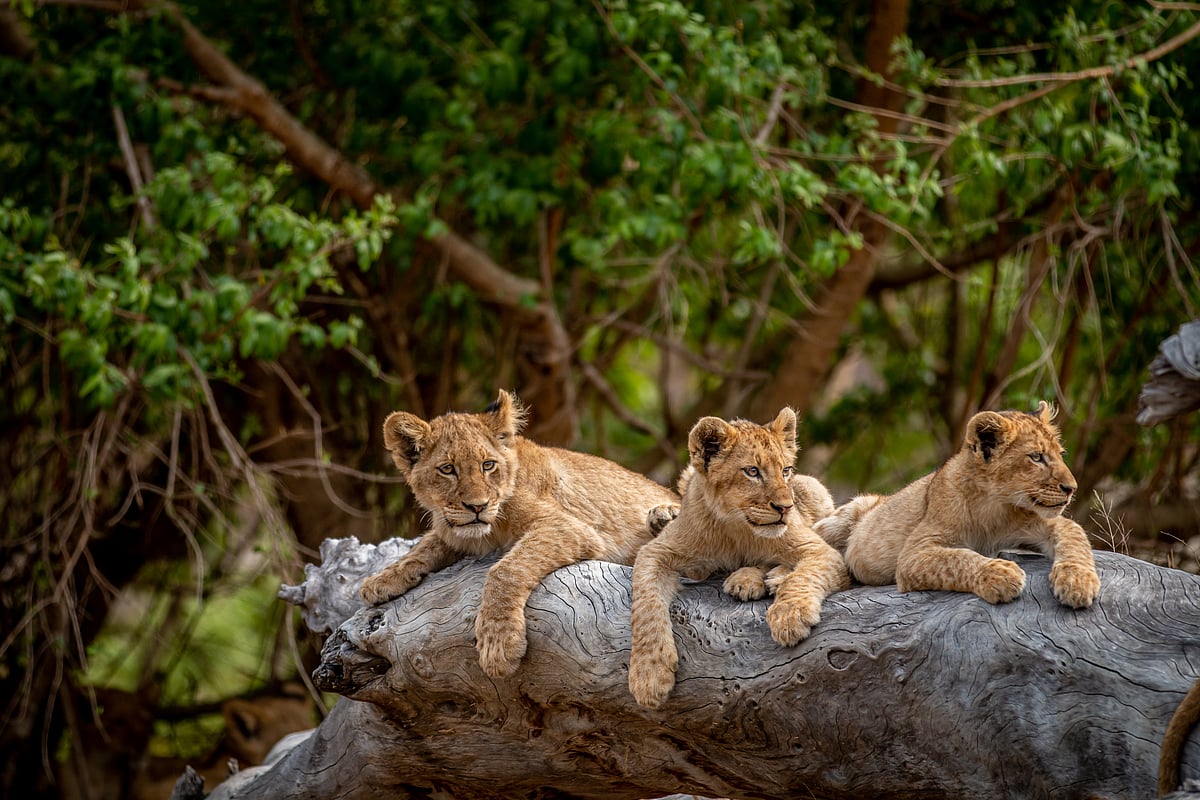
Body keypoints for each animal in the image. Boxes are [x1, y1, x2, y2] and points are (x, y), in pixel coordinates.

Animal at [359, 389, 678, 678]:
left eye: (488, 465)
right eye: (447, 469)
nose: (477, 506)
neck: (490, 531)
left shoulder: (568, 527)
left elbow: (505, 570)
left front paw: (499, 644)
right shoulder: (457, 531)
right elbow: (424, 546)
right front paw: (381, 580)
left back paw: (665, 515)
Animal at [628, 408, 850, 709]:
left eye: (785, 471)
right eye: (752, 471)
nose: (785, 508)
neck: (735, 527)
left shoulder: (820, 549)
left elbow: (805, 575)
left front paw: (790, 615)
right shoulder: (656, 552)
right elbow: (645, 605)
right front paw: (648, 675)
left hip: (814, 489)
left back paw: (761, 579)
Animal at [816, 401, 1100, 608]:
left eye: (1060, 454)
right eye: (1037, 457)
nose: (1072, 488)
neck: (994, 506)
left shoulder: (1042, 522)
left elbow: (1075, 536)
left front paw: (1078, 580)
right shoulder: (914, 554)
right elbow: (957, 558)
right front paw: (1000, 574)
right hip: (841, 519)